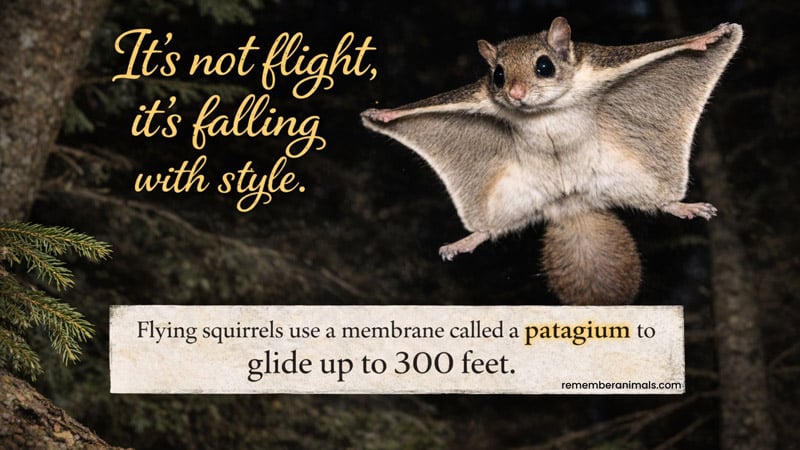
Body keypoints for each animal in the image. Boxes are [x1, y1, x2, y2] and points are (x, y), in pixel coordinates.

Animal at [361, 17, 742, 305]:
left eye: (543, 65)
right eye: (498, 75)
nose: (515, 93)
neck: (544, 111)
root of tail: (573, 203)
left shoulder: (601, 63)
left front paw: (707, 38)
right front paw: (384, 114)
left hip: (630, 177)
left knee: (658, 202)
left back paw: (682, 207)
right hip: (512, 200)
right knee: (491, 229)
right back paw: (467, 240)